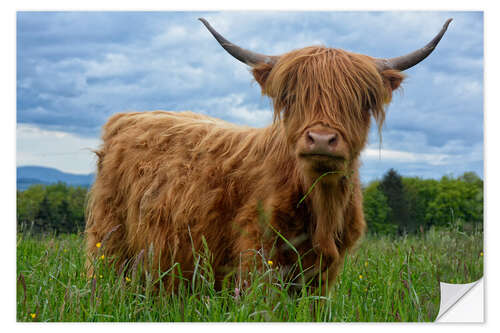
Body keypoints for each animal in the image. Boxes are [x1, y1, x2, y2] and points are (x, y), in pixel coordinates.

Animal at [86, 18, 454, 292]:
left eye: (360, 101)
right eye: (291, 97)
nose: (321, 139)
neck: (321, 204)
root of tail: (128, 116)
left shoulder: (325, 273)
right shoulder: (257, 254)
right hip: (109, 240)